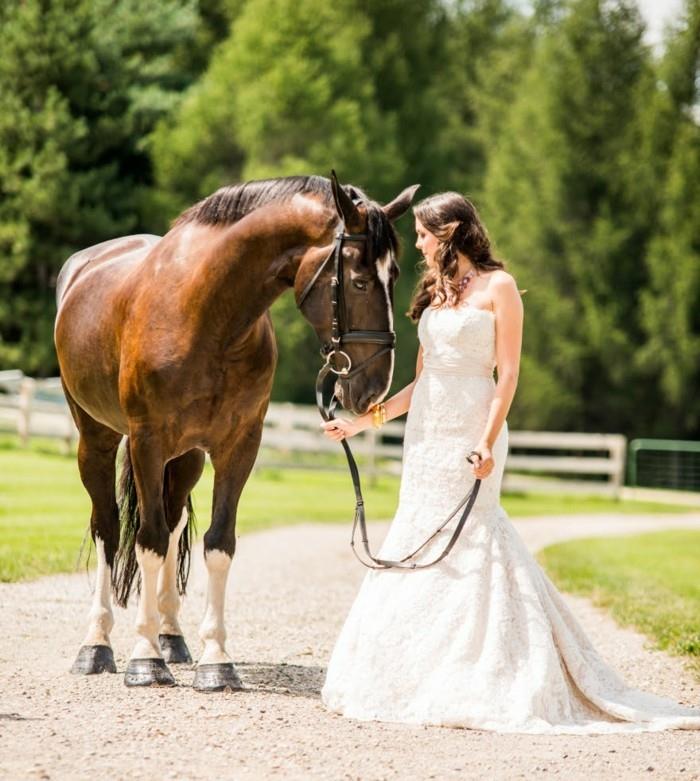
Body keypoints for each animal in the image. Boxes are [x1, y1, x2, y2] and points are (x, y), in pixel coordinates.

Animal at [54, 172, 418, 688]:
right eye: (361, 280)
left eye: (396, 278)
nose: (374, 385)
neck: (206, 316)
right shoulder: (147, 443)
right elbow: (147, 540)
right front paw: (145, 659)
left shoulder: (238, 446)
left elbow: (218, 544)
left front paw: (215, 660)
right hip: (98, 441)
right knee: (108, 527)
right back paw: (97, 646)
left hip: (185, 457)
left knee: (173, 523)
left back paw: (172, 638)